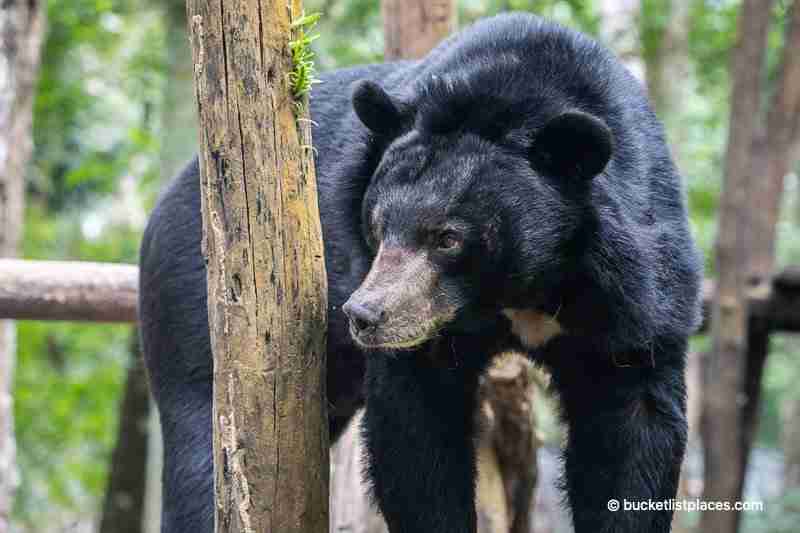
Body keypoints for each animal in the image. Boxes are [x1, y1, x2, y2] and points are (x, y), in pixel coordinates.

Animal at [141, 12, 704, 532]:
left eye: (448, 238)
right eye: (376, 225)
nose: (363, 315)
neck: (521, 289)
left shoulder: (638, 295)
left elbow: (632, 433)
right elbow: (416, 436)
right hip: (193, 308)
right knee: (203, 447)